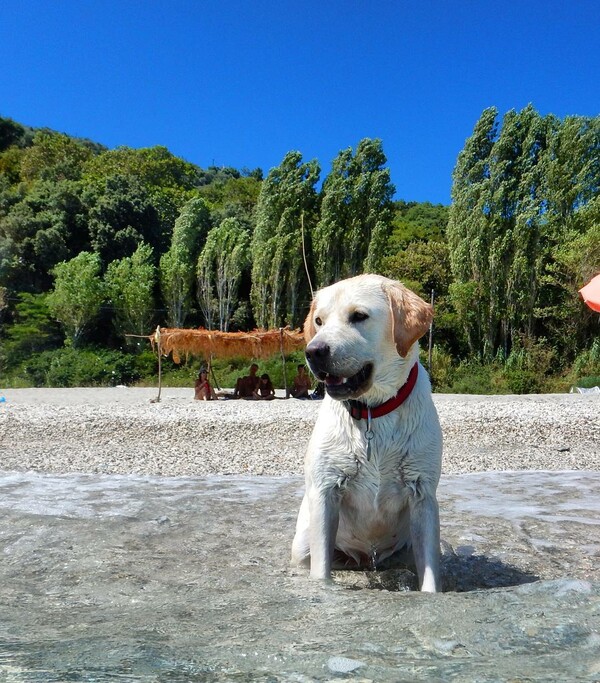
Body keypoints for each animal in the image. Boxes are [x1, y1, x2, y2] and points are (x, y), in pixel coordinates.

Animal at [290, 272, 440, 592]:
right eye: (319, 321)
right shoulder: (325, 491)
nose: (313, 351)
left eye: (359, 316)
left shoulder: (422, 494)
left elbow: (431, 576)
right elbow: (321, 571)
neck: (373, 411)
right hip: (303, 545)